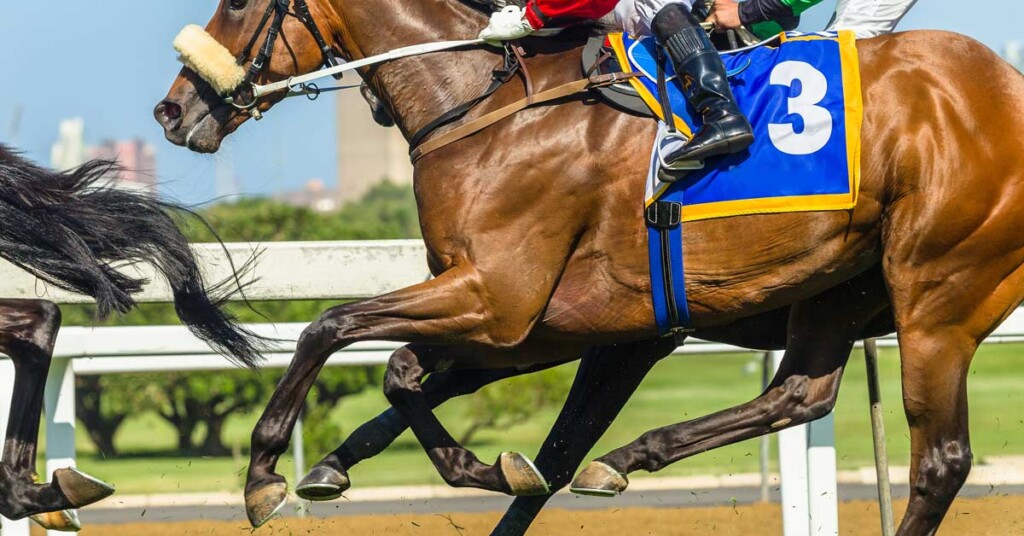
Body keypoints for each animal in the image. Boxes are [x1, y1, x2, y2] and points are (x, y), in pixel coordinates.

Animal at [155, 1, 1024, 534]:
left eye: (241, 3)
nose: (172, 110)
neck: (484, 108)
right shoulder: (544, 324)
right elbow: (410, 382)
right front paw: (358, 468)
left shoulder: (502, 299)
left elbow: (332, 326)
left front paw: (264, 471)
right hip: (839, 289)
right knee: (800, 393)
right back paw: (629, 457)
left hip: (938, 290)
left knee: (939, 460)